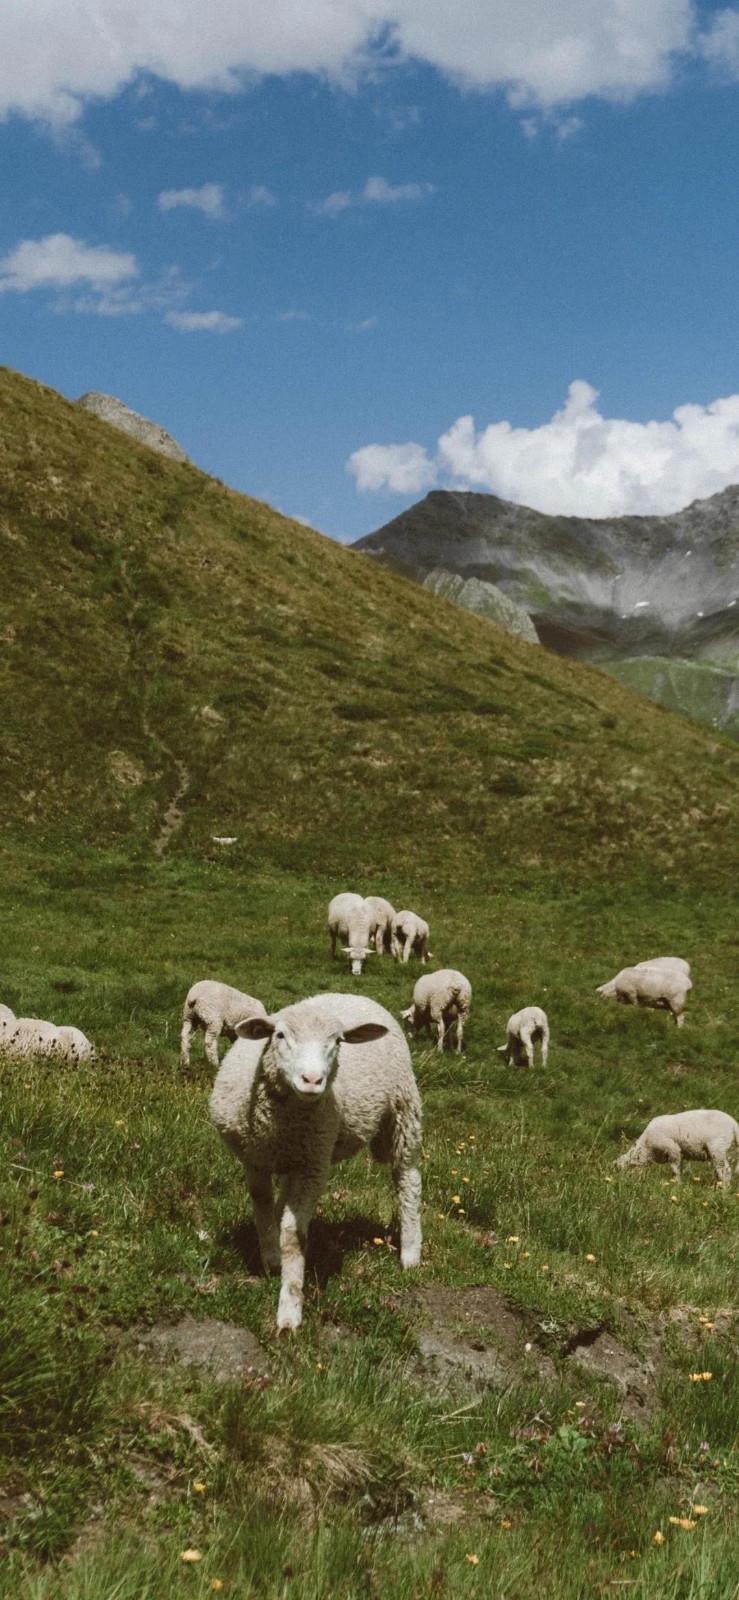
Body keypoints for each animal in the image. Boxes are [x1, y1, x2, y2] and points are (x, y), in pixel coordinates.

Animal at [211, 992, 425, 1331]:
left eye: (337, 1042)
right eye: (280, 1035)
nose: (312, 1080)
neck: (281, 1122)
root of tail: (356, 995)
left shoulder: (314, 1166)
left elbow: (293, 1236)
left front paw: (289, 1313)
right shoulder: (254, 1158)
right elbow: (262, 1205)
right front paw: (271, 1258)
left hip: (404, 1112)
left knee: (408, 1179)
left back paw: (410, 1252)